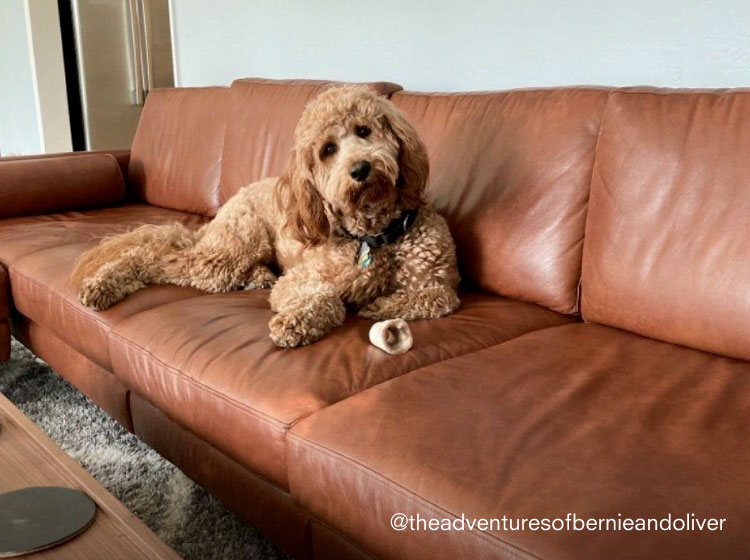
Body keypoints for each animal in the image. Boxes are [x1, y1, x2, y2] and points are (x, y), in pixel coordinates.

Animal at [72, 84, 458, 346]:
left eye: (364, 130)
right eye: (328, 150)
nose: (360, 169)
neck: (375, 235)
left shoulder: (440, 284)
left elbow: (434, 298)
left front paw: (380, 305)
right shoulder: (302, 279)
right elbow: (324, 296)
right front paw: (296, 322)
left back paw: (257, 278)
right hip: (233, 248)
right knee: (154, 257)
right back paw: (104, 284)